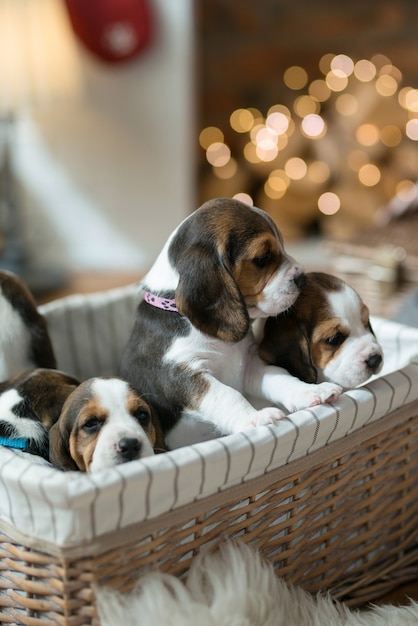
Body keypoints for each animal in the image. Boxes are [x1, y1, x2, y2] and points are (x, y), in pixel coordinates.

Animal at [119, 195, 342, 444]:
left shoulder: (251, 364)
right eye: (262, 258)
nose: (302, 278)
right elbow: (226, 395)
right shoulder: (179, 372)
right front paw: (255, 419)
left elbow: (280, 377)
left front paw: (310, 392)